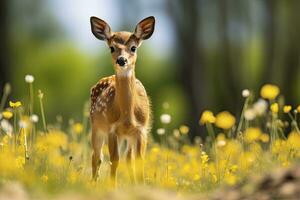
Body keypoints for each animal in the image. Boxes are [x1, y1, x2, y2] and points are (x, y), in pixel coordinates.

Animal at [88, 16, 155, 186]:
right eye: (112, 48)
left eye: (133, 48)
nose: (121, 60)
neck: (126, 115)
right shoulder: (111, 129)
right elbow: (114, 160)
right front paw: (112, 186)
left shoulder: (141, 129)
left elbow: (138, 160)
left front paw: (141, 186)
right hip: (96, 126)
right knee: (96, 157)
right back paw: (93, 183)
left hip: (128, 136)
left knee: (128, 158)